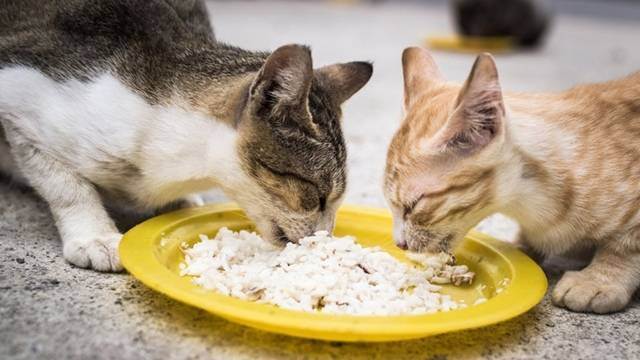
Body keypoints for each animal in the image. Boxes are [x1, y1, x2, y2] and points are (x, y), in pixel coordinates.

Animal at [384, 47, 640, 312]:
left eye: (414, 205)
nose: (399, 244)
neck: (528, 203)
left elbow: (626, 245)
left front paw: (599, 279)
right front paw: (521, 249)